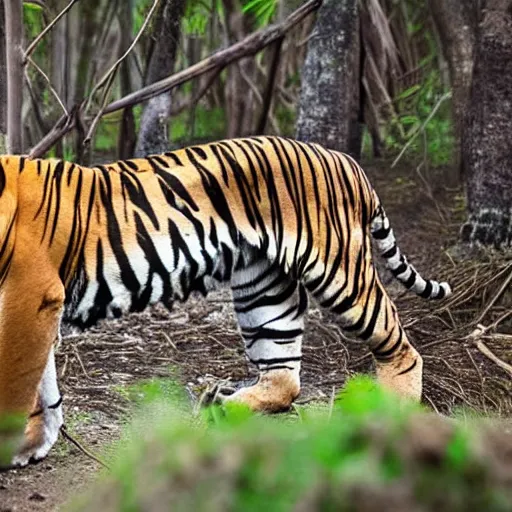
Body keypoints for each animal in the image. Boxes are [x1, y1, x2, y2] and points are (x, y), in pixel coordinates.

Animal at [0, 136, 448, 468]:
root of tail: (346, 160)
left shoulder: (29, 295)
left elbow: (18, 382)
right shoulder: (41, 306)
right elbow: (42, 386)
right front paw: (33, 445)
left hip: (340, 271)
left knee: (399, 345)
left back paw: (393, 413)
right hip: (263, 289)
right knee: (284, 377)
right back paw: (222, 404)